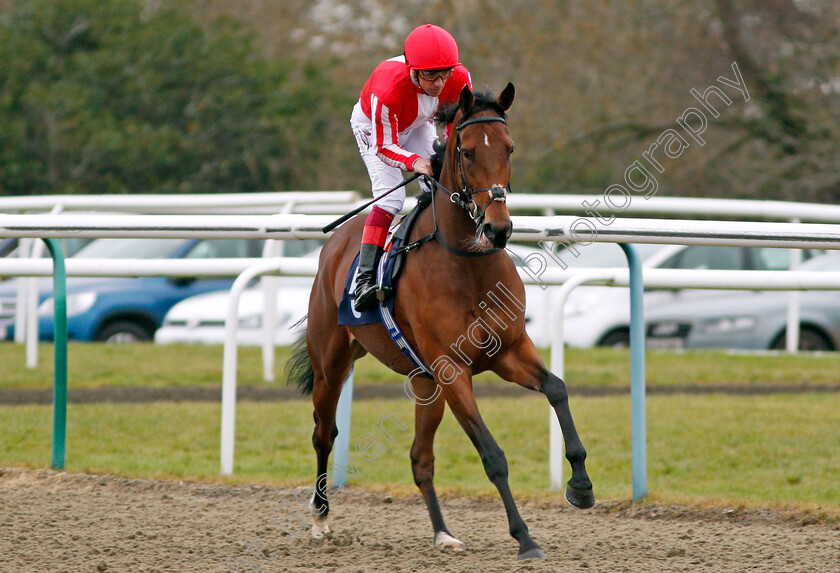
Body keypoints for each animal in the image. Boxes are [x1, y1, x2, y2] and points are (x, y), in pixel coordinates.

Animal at [286, 81, 592, 560]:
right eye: (466, 151)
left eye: (510, 147)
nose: (498, 228)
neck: (466, 265)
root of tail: (334, 245)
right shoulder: (454, 370)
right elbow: (493, 455)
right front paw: (525, 538)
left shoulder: (509, 351)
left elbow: (557, 388)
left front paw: (580, 485)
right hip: (331, 363)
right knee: (324, 433)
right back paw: (319, 518)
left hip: (425, 383)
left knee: (420, 458)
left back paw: (443, 533)